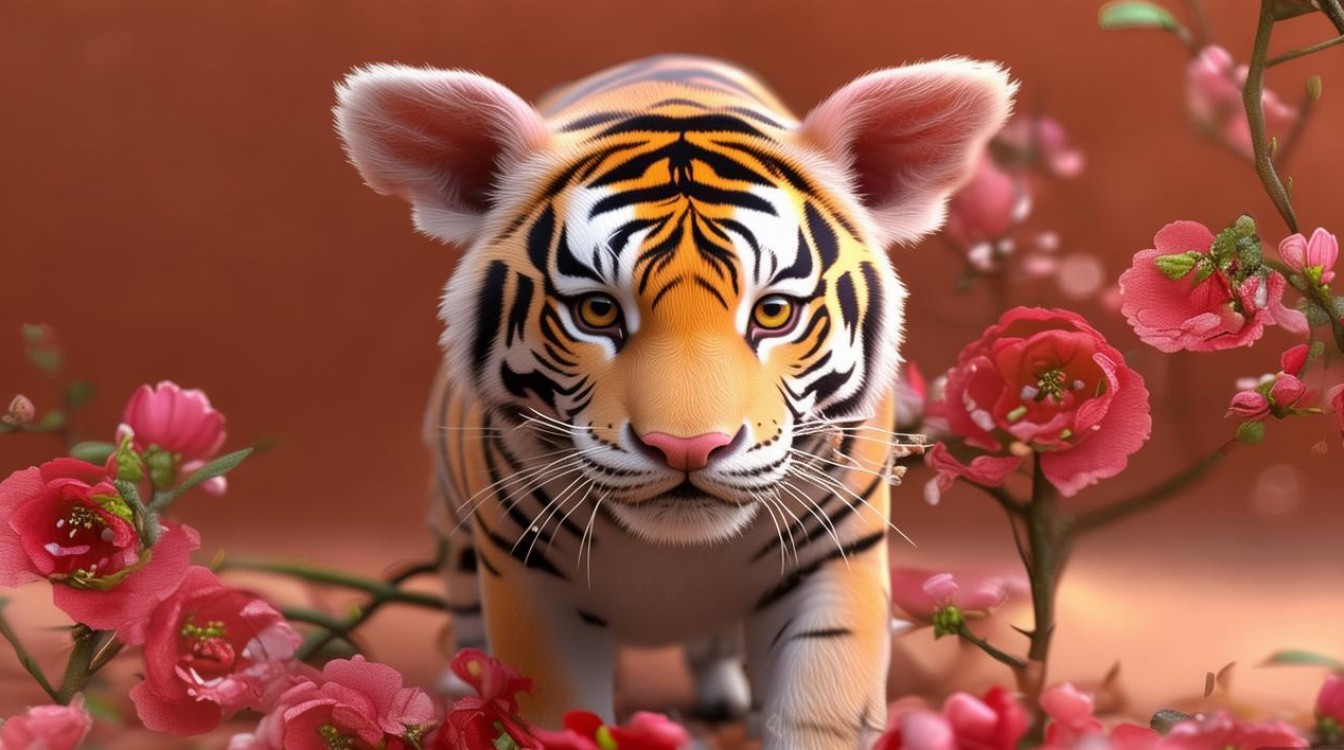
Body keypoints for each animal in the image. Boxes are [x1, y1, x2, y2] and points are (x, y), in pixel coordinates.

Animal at [334, 54, 1013, 749]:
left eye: (774, 312)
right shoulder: (530, 578)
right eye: (597, 311)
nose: (687, 449)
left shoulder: (832, 560)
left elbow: (814, 705)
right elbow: (557, 708)